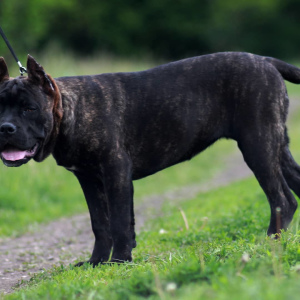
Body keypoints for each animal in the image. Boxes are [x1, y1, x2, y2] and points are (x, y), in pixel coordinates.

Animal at [0, 52, 298, 266]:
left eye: (29, 109)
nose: (5, 128)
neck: (73, 110)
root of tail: (266, 60)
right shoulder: (88, 180)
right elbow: (100, 223)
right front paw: (96, 262)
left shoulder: (115, 171)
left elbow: (119, 221)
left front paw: (119, 261)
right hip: (277, 149)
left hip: (258, 147)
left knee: (281, 199)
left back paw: (269, 241)